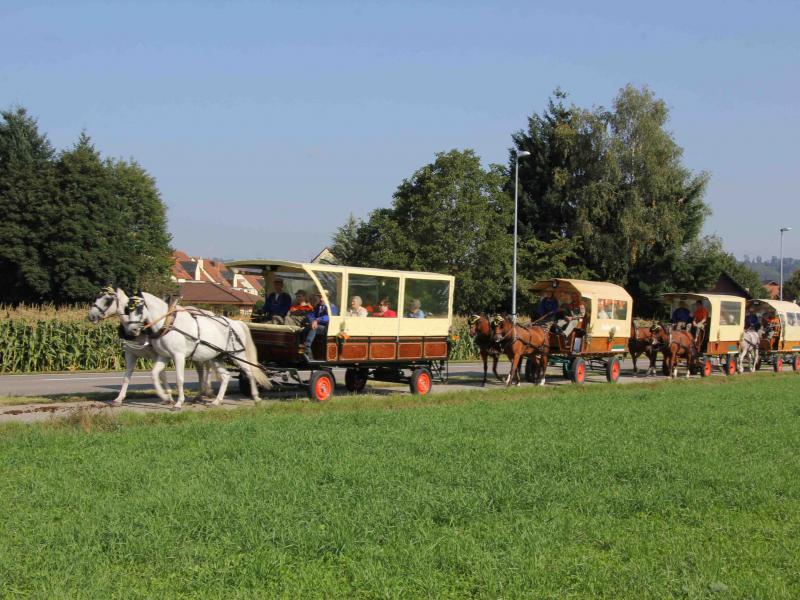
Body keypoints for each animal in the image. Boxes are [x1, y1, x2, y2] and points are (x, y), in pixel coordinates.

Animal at [120, 290, 268, 408]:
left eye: (139, 309)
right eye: (128, 310)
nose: (131, 331)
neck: (168, 324)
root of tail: (235, 323)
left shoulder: (178, 356)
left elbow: (179, 379)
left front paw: (179, 403)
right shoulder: (164, 356)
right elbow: (154, 374)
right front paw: (165, 397)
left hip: (237, 355)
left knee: (249, 372)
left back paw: (256, 397)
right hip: (217, 357)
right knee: (225, 376)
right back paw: (217, 401)